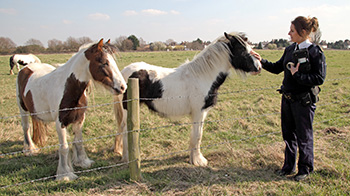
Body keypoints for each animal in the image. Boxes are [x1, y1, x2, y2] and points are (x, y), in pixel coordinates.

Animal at [16, 38, 127, 181]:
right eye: (104, 62)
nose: (123, 87)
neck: (68, 87)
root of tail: (25, 68)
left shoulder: (79, 119)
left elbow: (78, 141)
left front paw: (83, 162)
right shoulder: (60, 123)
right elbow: (64, 147)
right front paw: (65, 174)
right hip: (22, 109)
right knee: (26, 127)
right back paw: (30, 149)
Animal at [113, 32, 262, 167]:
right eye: (241, 49)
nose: (259, 67)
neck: (203, 76)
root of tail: (124, 72)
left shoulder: (202, 113)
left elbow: (197, 135)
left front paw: (194, 158)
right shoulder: (198, 112)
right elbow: (197, 136)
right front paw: (198, 161)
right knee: (125, 131)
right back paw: (127, 158)